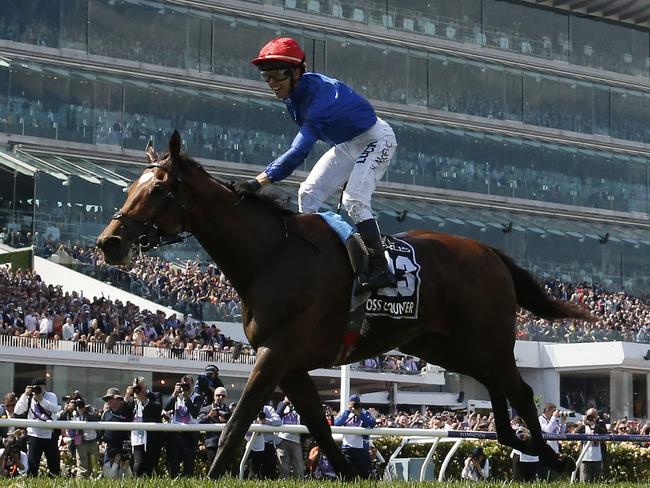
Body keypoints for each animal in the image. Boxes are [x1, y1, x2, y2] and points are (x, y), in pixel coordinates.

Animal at [97, 131, 592, 476]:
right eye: (130, 187)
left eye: (157, 190)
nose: (109, 243)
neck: (272, 256)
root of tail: (489, 251)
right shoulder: (290, 364)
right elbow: (319, 427)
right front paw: (353, 472)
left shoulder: (276, 354)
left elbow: (236, 424)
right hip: (441, 345)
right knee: (497, 388)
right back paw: (523, 444)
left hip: (486, 338)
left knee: (521, 391)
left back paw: (553, 458)